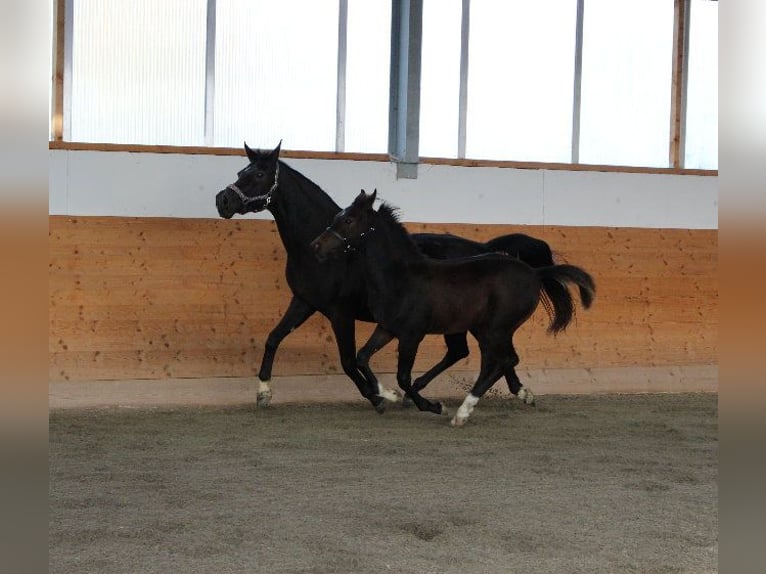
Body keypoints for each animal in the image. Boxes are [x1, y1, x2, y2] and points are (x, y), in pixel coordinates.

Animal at [215, 142, 557, 412]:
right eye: (240, 172)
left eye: (258, 175)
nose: (223, 201)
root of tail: (485, 249)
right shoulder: (304, 302)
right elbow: (274, 338)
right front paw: (263, 392)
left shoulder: (340, 312)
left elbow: (348, 360)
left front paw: (379, 396)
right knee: (477, 352)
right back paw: (512, 392)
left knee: (483, 352)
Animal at [310, 190, 596, 426]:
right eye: (337, 216)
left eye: (349, 220)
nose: (316, 246)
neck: (401, 278)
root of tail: (535, 273)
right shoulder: (387, 328)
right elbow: (362, 357)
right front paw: (388, 395)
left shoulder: (412, 335)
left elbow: (403, 375)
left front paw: (433, 406)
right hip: (487, 329)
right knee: (499, 361)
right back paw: (517, 395)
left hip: (495, 328)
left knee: (500, 361)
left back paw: (462, 413)